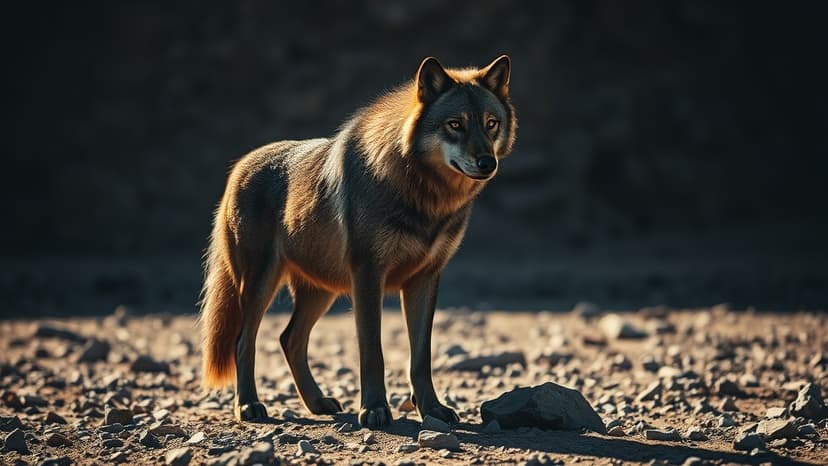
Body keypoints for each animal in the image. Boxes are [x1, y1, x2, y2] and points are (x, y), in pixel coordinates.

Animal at [200, 55, 516, 428]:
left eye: (491, 124)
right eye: (455, 124)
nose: (487, 162)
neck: (425, 196)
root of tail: (240, 165)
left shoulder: (425, 280)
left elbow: (420, 358)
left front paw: (432, 409)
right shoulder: (368, 276)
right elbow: (372, 353)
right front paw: (375, 410)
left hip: (321, 291)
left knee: (289, 339)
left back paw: (317, 402)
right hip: (261, 284)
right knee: (243, 340)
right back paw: (249, 405)